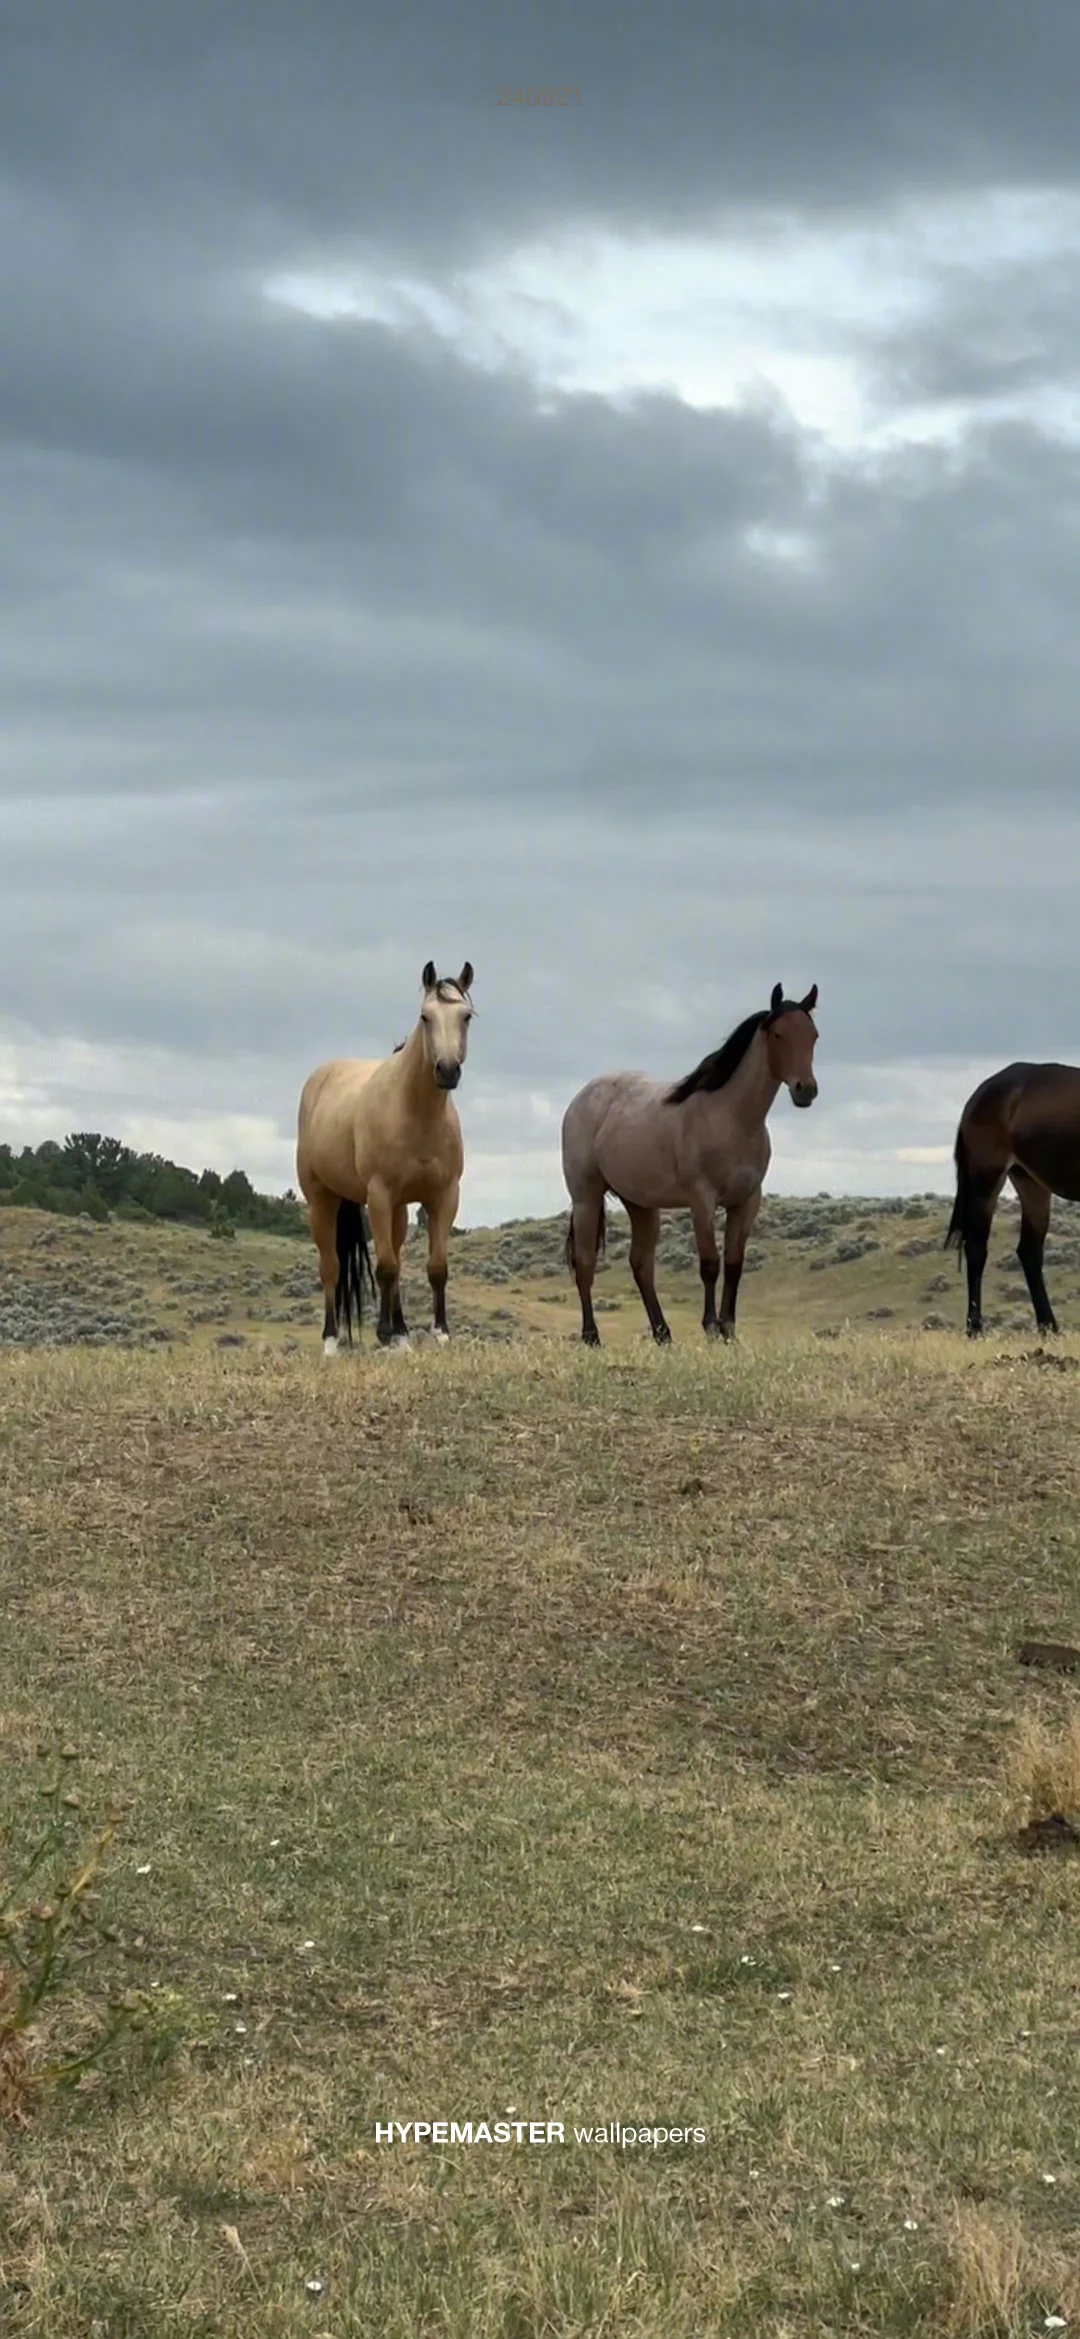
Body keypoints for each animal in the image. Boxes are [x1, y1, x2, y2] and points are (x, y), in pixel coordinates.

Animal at [299, 954, 476, 1356]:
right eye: (425, 1016)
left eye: (466, 1016)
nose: (447, 1070)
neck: (415, 1113)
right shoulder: (378, 1195)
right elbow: (386, 1267)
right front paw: (383, 1333)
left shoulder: (444, 1197)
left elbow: (435, 1267)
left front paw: (439, 1332)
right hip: (323, 1199)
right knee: (331, 1268)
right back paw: (331, 1342)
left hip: (397, 1209)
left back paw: (401, 1332)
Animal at [565, 987, 818, 1356]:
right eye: (778, 1034)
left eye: (813, 1036)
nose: (806, 1091)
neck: (731, 1118)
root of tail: (582, 1098)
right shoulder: (702, 1200)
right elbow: (710, 1264)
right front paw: (711, 1327)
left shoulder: (747, 1201)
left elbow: (734, 1264)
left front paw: (729, 1330)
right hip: (586, 1197)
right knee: (585, 1264)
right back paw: (591, 1337)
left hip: (641, 1204)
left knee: (642, 1265)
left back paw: (663, 1334)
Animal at [939, 1061, 1080, 1337]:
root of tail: (978, 1096)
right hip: (987, 1175)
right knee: (976, 1247)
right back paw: (975, 1329)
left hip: (1030, 1182)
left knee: (1029, 1251)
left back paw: (1048, 1327)